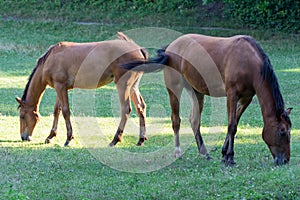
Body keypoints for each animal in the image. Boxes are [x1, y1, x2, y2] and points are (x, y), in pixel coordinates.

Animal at [15, 32, 149, 147]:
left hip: (123, 85)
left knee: (125, 109)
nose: (24, 137)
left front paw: (68, 138)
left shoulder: (60, 87)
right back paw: (141, 139)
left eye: (22, 116)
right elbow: (57, 110)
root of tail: (137, 49)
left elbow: (65, 111)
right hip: (133, 87)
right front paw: (51, 136)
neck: (50, 58)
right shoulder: (60, 87)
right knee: (140, 107)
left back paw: (115, 140)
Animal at [120, 34, 292, 166]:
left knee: (194, 120)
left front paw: (224, 153)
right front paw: (229, 157)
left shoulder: (246, 98)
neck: (248, 61)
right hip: (174, 89)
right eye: (282, 131)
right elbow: (232, 126)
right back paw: (178, 152)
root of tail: (170, 48)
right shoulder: (232, 95)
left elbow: (234, 124)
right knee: (176, 120)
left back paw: (204, 152)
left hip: (196, 92)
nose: (285, 160)